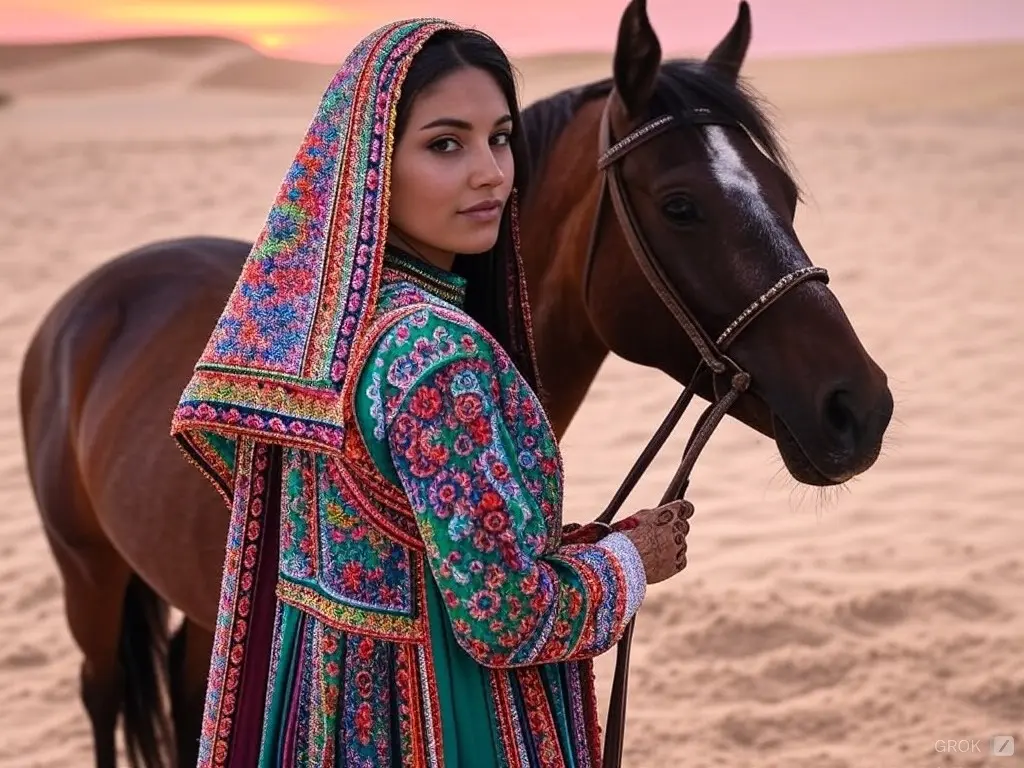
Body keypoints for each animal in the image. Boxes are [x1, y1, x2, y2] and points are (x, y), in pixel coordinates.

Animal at [19, 3, 892, 765]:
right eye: (681, 205)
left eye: (785, 193)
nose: (861, 408)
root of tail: (86, 302)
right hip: (88, 573)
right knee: (102, 693)